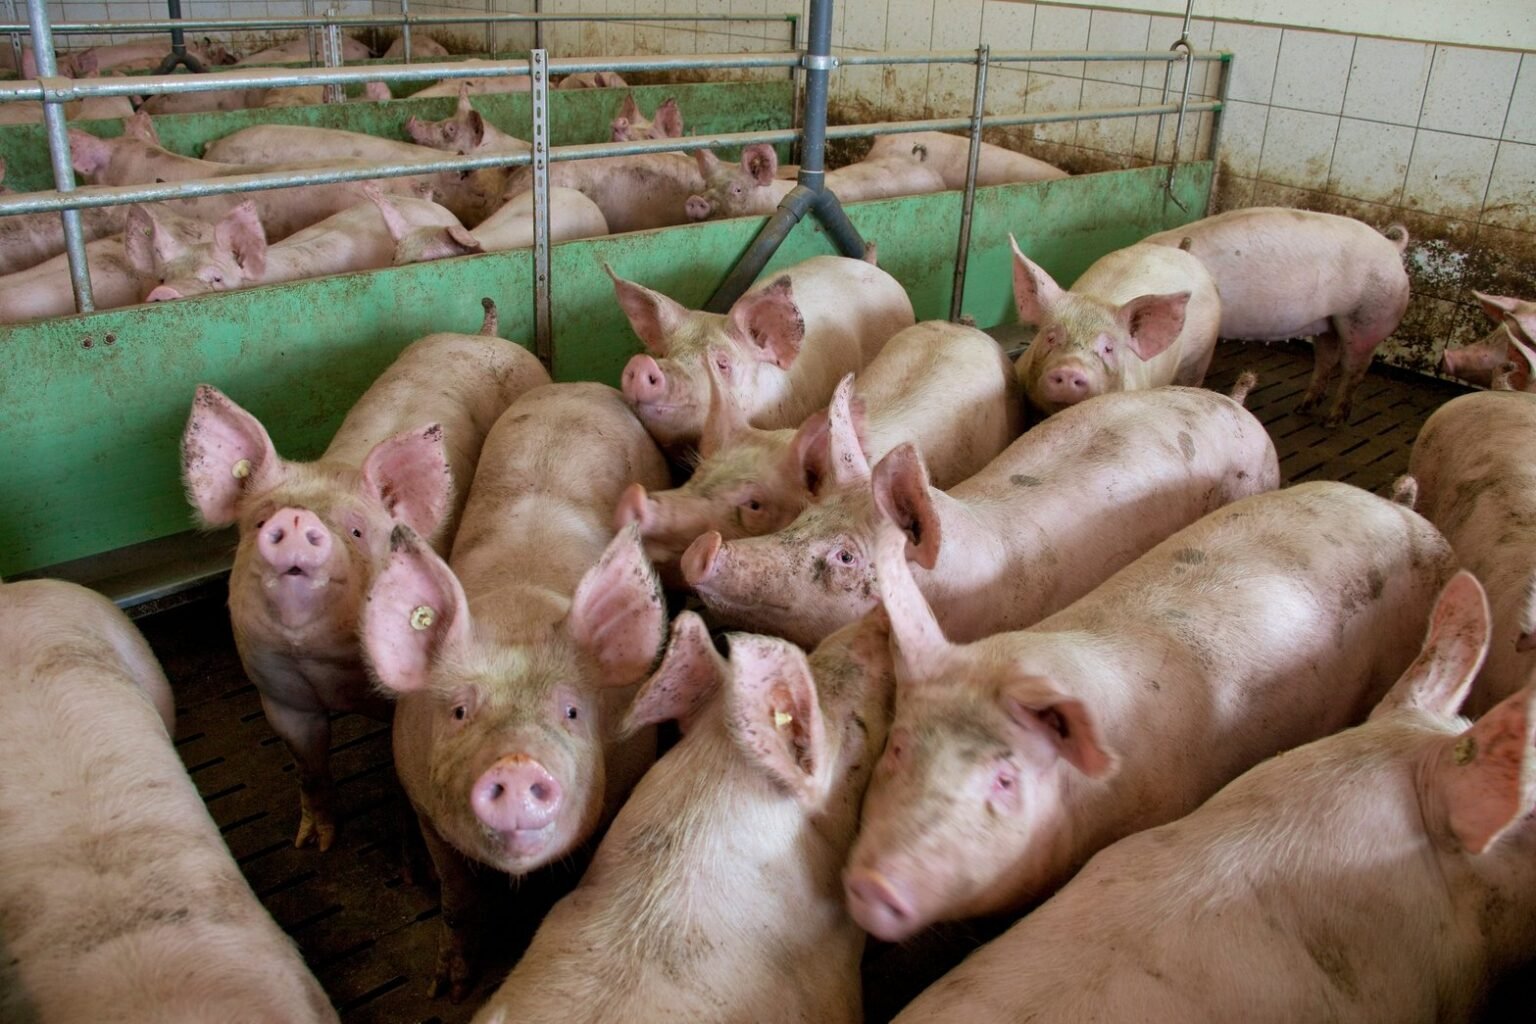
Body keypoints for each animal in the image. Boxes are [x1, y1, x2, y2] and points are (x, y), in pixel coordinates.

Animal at [181, 305, 548, 853]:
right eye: (258, 520)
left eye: (355, 531)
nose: (293, 519)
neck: (313, 657)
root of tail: (485, 335)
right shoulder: (280, 696)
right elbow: (308, 766)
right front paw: (313, 844)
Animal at [359, 383, 671, 999]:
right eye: (459, 711)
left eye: (572, 710)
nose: (518, 763)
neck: (517, 609)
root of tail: (578, 386)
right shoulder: (424, 804)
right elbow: (456, 896)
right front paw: (448, 988)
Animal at [1144, 207, 1410, 425]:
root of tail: (1392, 248)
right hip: (1331, 320)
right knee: (1327, 357)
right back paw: (1303, 407)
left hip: (1368, 317)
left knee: (1354, 367)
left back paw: (1333, 420)